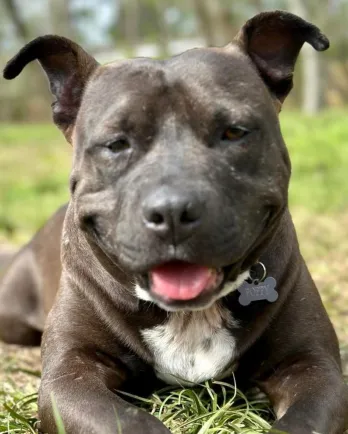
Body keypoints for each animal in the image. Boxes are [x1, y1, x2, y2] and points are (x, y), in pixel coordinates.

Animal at [0, 9, 348, 434]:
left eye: (234, 132)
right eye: (116, 144)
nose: (173, 211)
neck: (191, 315)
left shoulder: (313, 368)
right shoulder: (70, 376)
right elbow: (129, 422)